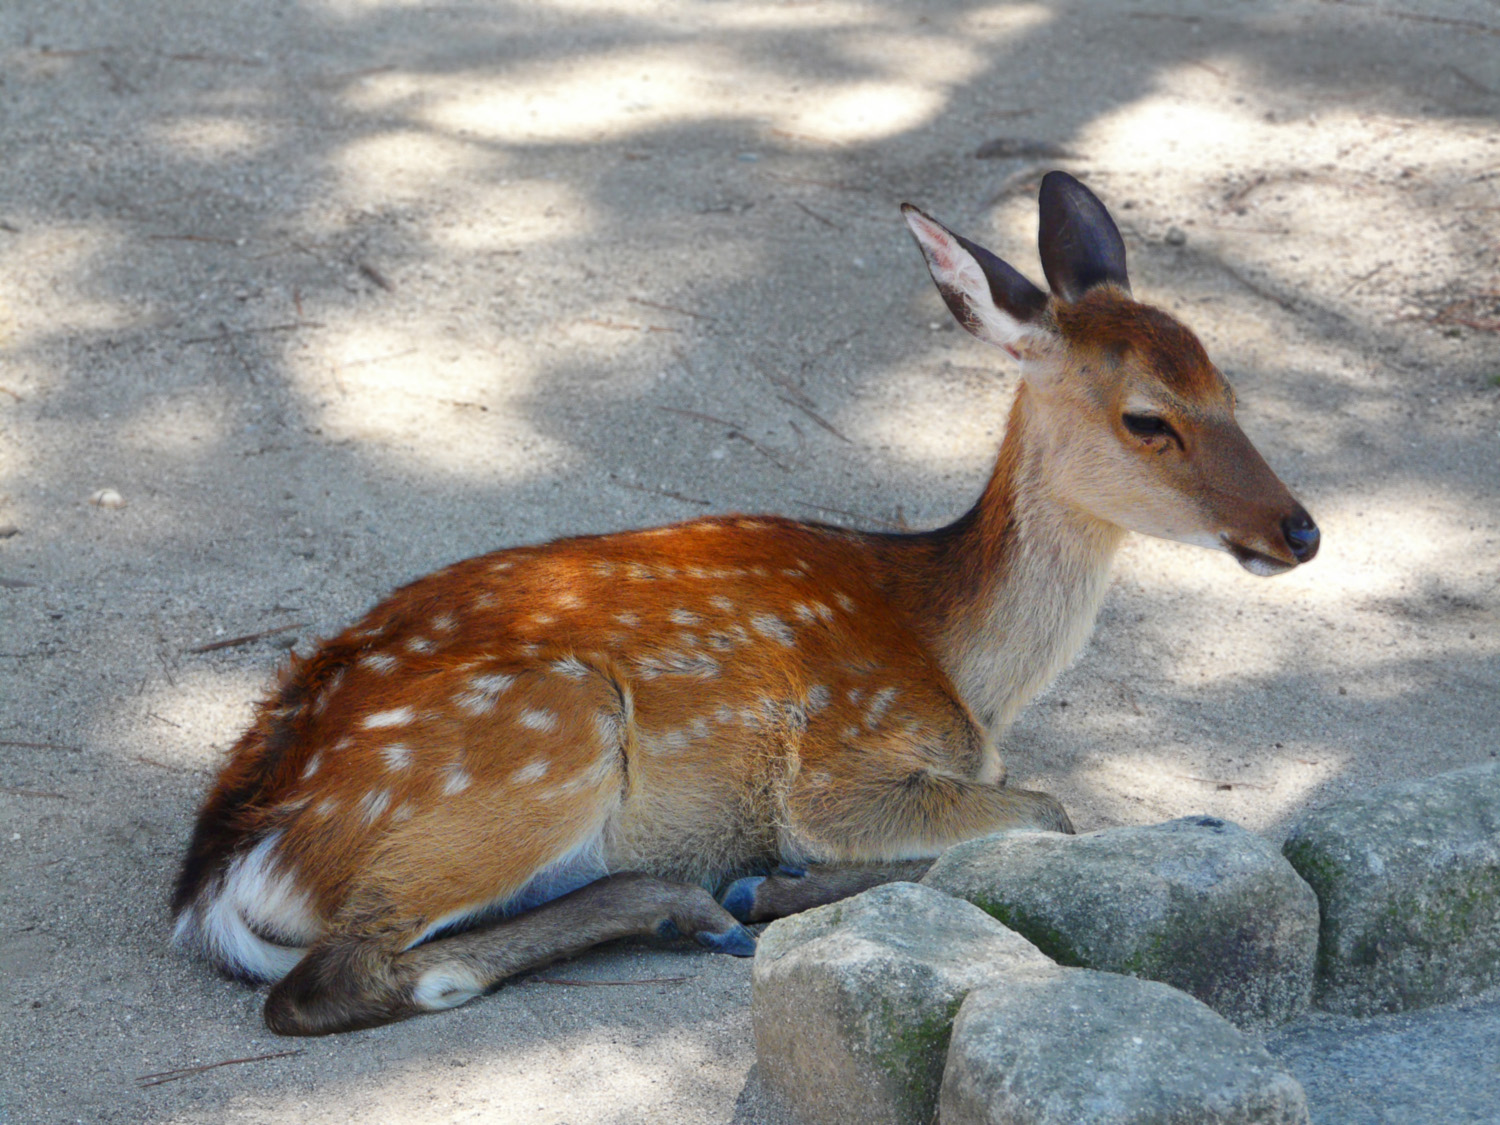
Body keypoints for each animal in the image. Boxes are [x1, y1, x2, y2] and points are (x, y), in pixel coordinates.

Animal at [172, 174, 1314, 1038]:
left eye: (1231, 389)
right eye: (1147, 420)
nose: (1299, 530)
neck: (959, 660)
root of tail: (218, 879)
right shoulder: (840, 760)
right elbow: (1050, 807)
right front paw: (783, 880)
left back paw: (690, 904)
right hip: (546, 734)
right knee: (328, 981)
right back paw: (715, 897)